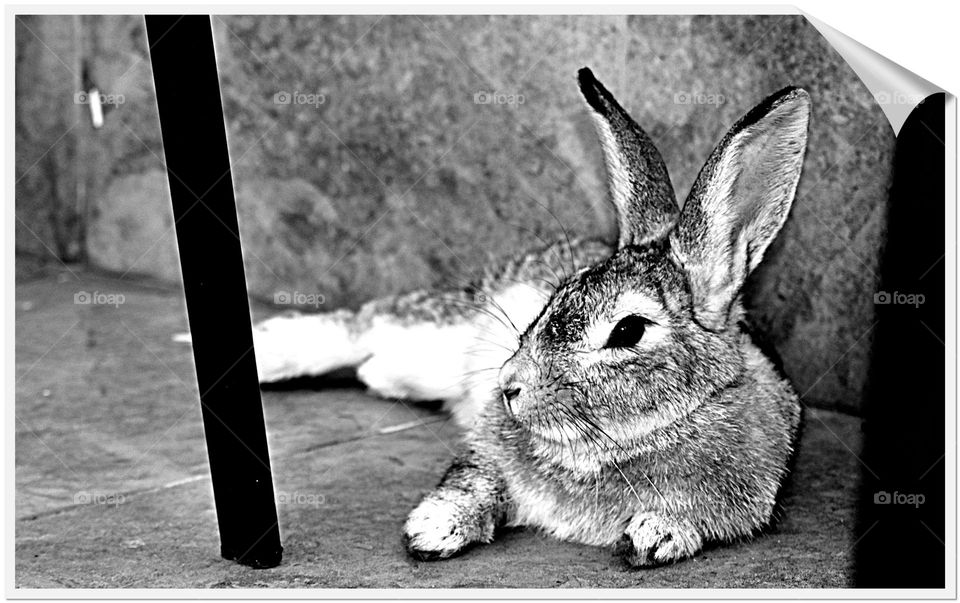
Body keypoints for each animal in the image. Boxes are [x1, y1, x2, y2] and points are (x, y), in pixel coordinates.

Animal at [399, 68, 808, 567]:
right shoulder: (486, 452)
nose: (509, 385)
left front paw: (655, 534)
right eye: (561, 291)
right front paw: (433, 526)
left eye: (628, 330)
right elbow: (474, 479)